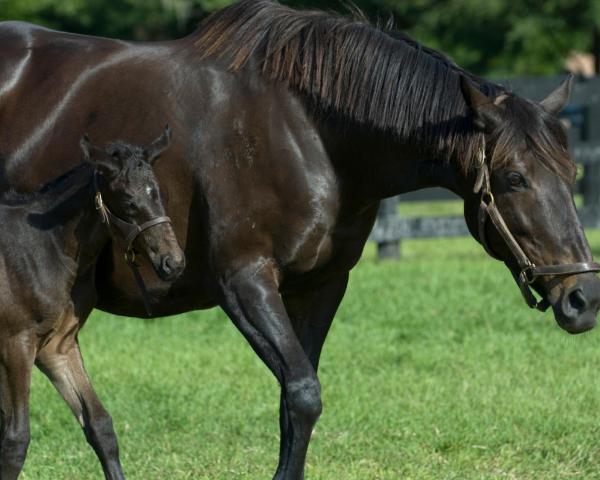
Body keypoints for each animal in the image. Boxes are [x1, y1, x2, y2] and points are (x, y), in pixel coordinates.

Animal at [0, 125, 185, 478]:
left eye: (157, 193)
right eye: (129, 201)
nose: (173, 262)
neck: (46, 248)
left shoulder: (57, 346)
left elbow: (99, 424)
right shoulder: (15, 344)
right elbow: (15, 439)